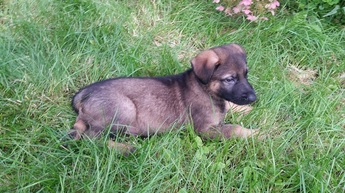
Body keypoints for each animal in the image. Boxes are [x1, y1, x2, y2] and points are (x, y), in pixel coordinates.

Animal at [70, 43, 256, 142]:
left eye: (246, 74)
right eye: (230, 79)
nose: (254, 97)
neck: (206, 89)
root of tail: (83, 94)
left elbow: (230, 104)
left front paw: (247, 109)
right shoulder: (205, 130)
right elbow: (234, 129)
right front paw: (256, 134)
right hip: (125, 108)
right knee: (92, 139)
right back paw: (126, 148)